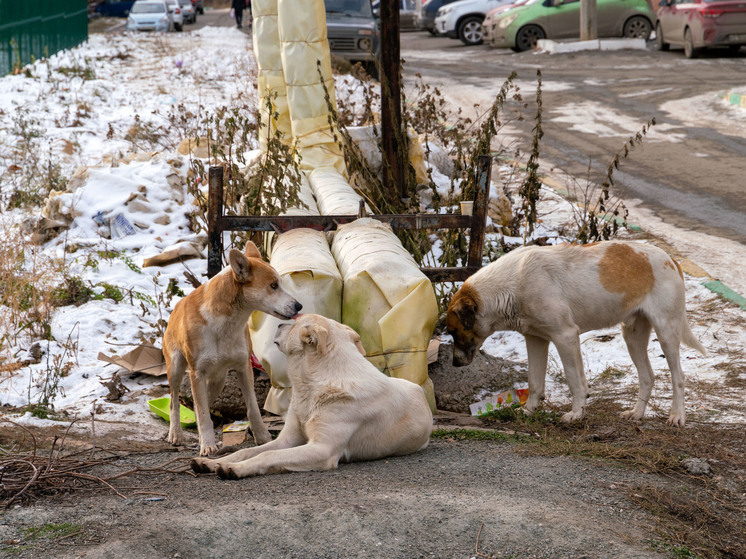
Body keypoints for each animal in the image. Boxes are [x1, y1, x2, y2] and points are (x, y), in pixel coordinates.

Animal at [163, 243, 302, 458]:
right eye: (273, 286)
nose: (299, 306)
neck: (226, 322)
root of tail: (175, 309)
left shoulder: (243, 366)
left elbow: (252, 408)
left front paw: (262, 437)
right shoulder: (197, 374)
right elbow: (203, 415)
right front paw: (207, 445)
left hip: (218, 381)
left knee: (198, 404)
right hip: (177, 369)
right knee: (175, 402)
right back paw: (176, 434)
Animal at [189, 316, 434, 482]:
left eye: (296, 322)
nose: (279, 324)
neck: (313, 385)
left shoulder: (322, 449)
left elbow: (267, 455)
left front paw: (236, 469)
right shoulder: (286, 440)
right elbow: (246, 451)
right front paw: (212, 462)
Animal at [444, 240, 708, 424]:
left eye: (453, 331)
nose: (454, 363)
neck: (512, 285)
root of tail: (671, 259)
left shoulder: (565, 337)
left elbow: (574, 380)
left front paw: (576, 414)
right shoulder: (536, 339)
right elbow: (535, 381)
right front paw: (529, 410)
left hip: (667, 332)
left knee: (678, 378)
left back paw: (677, 416)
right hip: (632, 337)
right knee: (648, 377)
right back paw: (637, 414)